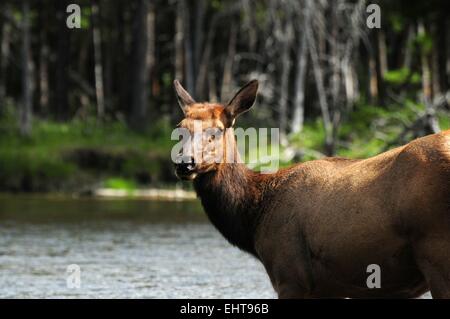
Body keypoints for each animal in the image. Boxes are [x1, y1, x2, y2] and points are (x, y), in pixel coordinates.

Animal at [172, 80, 450, 300]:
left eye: (217, 130)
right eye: (180, 127)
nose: (185, 163)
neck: (255, 215)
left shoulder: (289, 275)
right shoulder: (329, 288)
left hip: (436, 251)